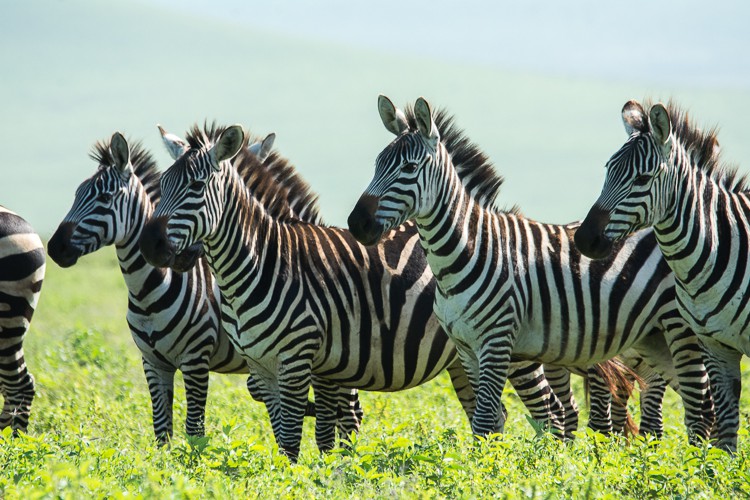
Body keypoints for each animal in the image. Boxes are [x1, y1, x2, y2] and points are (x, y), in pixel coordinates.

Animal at [48, 133, 348, 446]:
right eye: (76, 195)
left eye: (104, 198)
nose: (54, 247)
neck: (146, 293)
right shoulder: (153, 363)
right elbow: (161, 430)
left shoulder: (196, 359)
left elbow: (194, 429)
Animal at [135, 122, 596, 460]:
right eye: (163, 184)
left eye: (195, 189)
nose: (151, 245)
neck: (263, 259)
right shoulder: (286, 365)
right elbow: (313, 431)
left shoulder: (307, 359)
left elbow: (312, 433)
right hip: (465, 358)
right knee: (498, 414)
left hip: (516, 351)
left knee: (552, 414)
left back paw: (541, 471)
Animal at [348, 96, 716, 446]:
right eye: (378, 164)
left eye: (409, 167)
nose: (356, 223)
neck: (469, 250)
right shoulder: (466, 348)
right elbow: (488, 421)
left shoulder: (497, 342)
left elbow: (485, 421)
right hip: (656, 340)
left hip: (681, 332)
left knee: (699, 406)